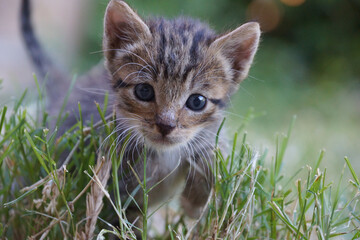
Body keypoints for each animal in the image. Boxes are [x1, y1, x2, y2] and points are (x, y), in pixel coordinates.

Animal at [21, 0, 258, 223]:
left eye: (197, 102)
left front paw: (196, 202)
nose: (165, 125)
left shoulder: (210, 132)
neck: (164, 156)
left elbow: (215, 151)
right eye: (144, 91)